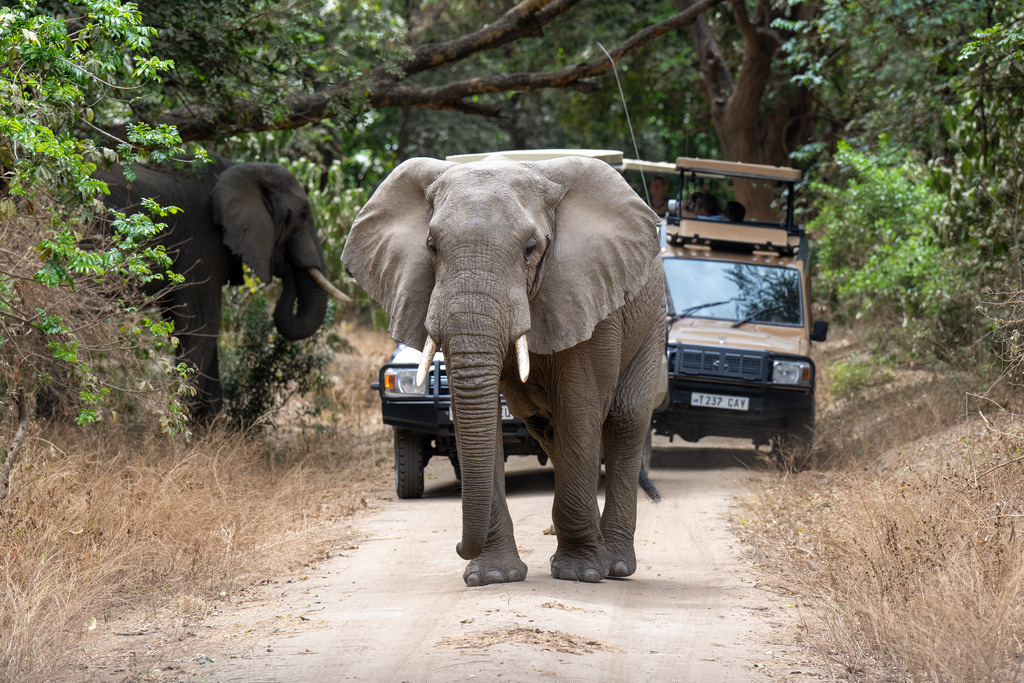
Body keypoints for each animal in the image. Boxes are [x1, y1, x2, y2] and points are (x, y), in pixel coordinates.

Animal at [96, 157, 348, 422]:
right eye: (301, 216)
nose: (287, 263)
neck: (237, 168)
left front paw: (208, 426)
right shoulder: (204, 240)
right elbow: (201, 323)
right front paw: (180, 425)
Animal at [342, 154, 666, 586]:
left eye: (531, 248)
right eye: (431, 246)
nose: (458, 546)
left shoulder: (588, 294)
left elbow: (579, 407)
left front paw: (580, 573)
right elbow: (481, 420)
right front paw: (493, 576)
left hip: (653, 321)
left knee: (624, 419)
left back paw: (613, 565)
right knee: (548, 429)